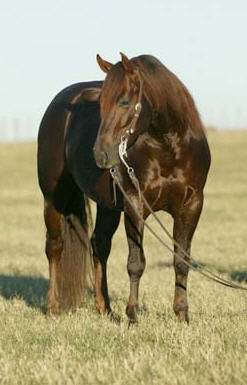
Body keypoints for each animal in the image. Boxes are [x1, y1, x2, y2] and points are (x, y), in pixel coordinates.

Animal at [38, 52, 210, 322]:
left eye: (125, 102)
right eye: (101, 103)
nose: (100, 154)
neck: (169, 148)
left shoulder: (191, 207)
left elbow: (181, 260)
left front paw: (182, 316)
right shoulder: (134, 205)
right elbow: (135, 263)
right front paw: (132, 316)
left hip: (107, 206)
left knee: (99, 245)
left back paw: (104, 308)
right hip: (54, 198)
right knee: (55, 247)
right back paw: (53, 307)